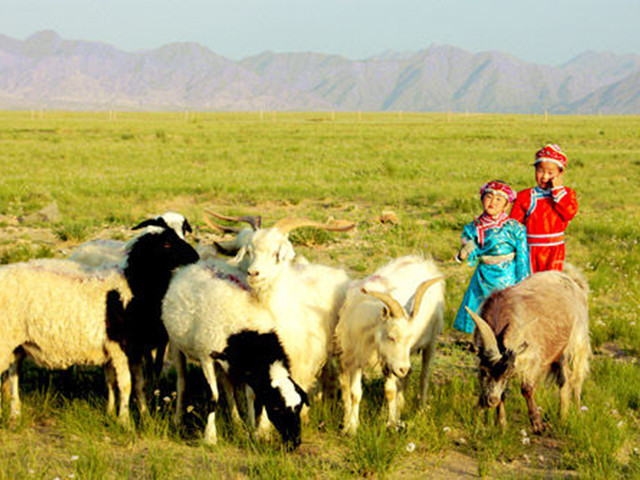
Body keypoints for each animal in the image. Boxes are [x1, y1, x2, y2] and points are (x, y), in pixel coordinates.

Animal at [0, 258, 134, 428]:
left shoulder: (111, 351)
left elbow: (111, 382)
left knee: (12, 375)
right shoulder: (120, 347)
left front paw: (110, 414)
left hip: (16, 345)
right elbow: (125, 384)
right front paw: (125, 423)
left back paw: (15, 415)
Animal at [336, 255, 444, 436]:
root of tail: (423, 262)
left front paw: (391, 423)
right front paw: (352, 427)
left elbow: (390, 391)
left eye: (410, 337)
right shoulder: (358, 356)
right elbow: (355, 393)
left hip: (431, 341)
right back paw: (400, 404)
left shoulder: (391, 361)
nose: (402, 368)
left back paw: (421, 409)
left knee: (424, 375)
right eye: (391, 337)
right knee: (408, 376)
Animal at [464, 268, 592, 434]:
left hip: (578, 338)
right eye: (483, 371)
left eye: (506, 376)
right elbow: (503, 393)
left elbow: (527, 389)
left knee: (577, 376)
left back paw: (576, 410)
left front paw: (537, 424)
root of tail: (575, 282)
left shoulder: (532, 360)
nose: (491, 401)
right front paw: (502, 425)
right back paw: (562, 416)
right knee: (565, 379)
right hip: (559, 349)